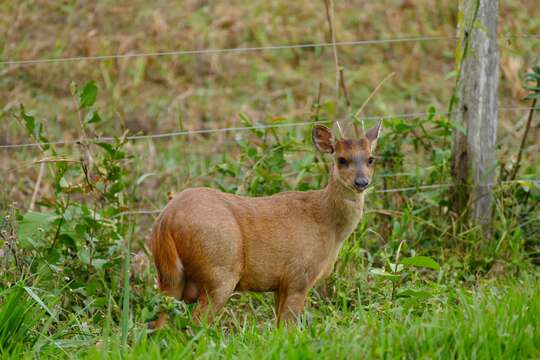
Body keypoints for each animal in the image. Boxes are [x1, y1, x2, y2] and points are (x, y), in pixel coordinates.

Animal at [148, 121, 382, 330]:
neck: (328, 225)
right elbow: (289, 328)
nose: (361, 182)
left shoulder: (281, 284)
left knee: (158, 324)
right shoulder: (299, 276)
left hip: (170, 277)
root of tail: (165, 220)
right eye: (342, 159)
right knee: (195, 325)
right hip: (220, 269)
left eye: (371, 159)